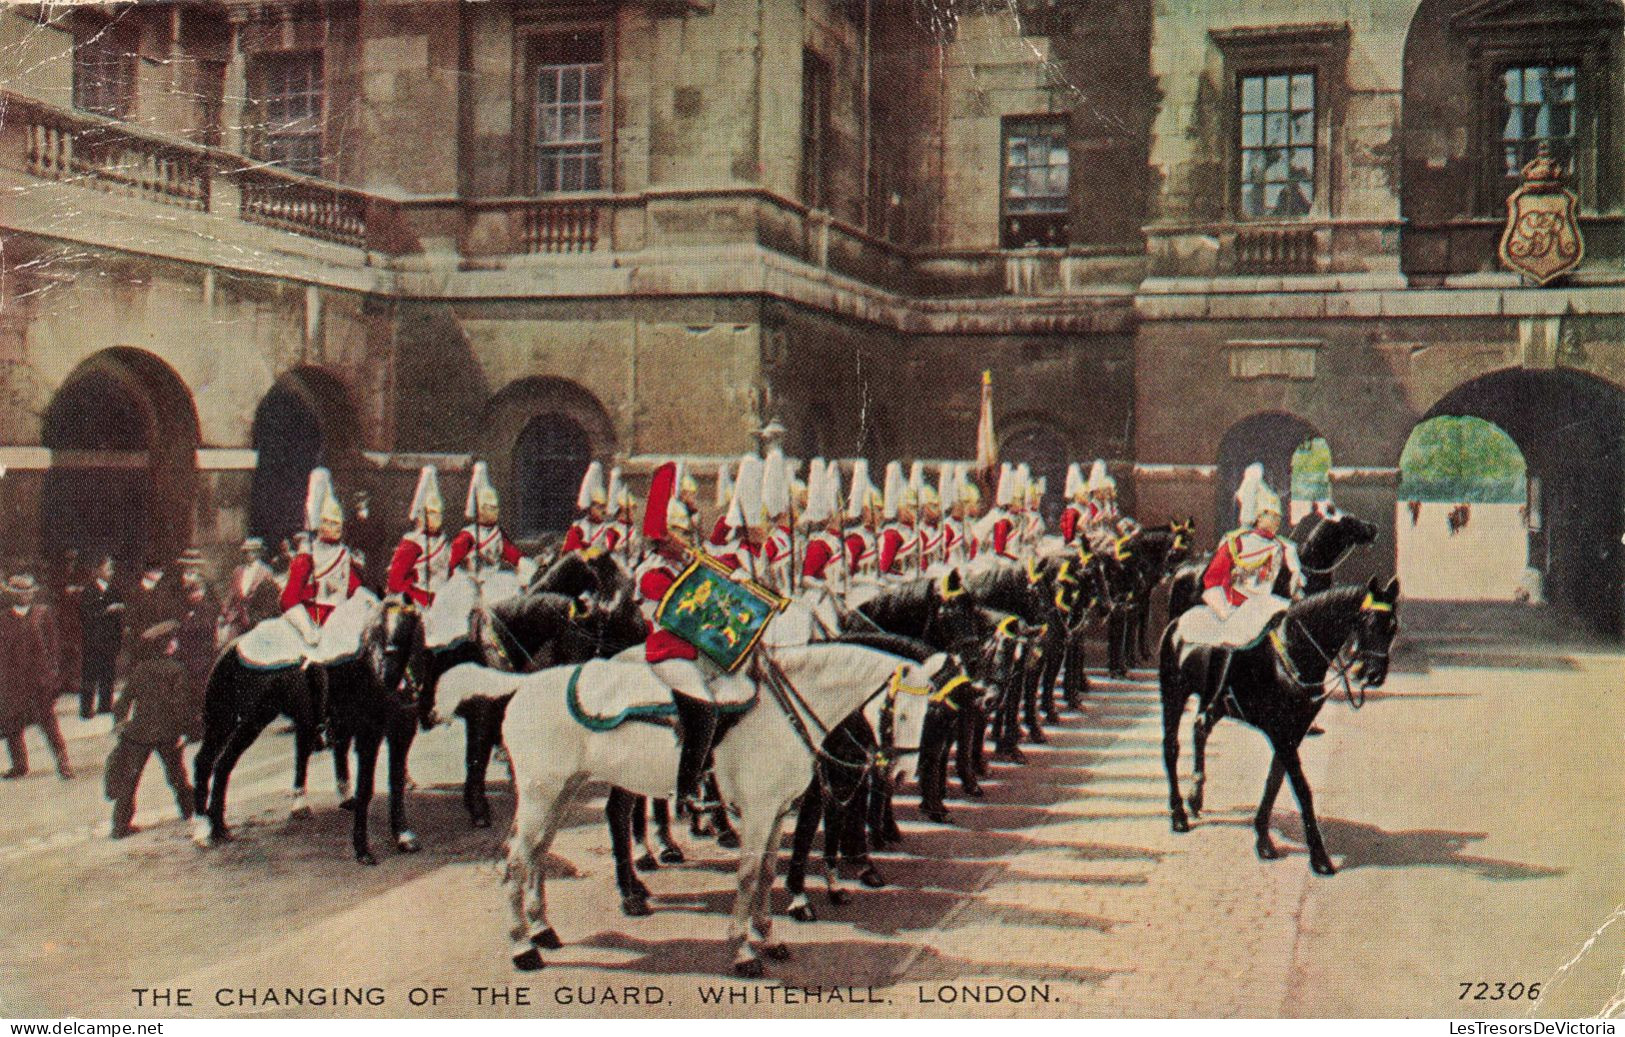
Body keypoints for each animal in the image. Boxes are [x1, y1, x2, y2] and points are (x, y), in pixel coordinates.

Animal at [192, 598, 432, 864]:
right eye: (374, 634)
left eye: (406, 635)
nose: (392, 686)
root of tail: (233, 646)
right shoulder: (368, 733)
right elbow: (366, 788)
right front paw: (363, 850)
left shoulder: (402, 731)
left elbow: (396, 782)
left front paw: (403, 836)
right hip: (229, 721)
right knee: (205, 762)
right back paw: (203, 832)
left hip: (250, 721)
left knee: (223, 765)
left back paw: (220, 828)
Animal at [448, 646, 949, 981]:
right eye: (901, 712)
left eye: (930, 710)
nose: (900, 774)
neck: (784, 712)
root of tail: (524, 684)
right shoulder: (759, 812)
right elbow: (748, 876)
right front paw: (743, 952)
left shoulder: (777, 813)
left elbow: (768, 873)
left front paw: (768, 938)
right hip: (541, 793)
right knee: (517, 862)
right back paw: (522, 947)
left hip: (560, 792)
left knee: (536, 855)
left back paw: (542, 929)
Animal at [1157, 581, 1397, 871]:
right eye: (1366, 622)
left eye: (1393, 626)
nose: (1374, 675)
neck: (1292, 653)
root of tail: (1177, 623)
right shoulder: (1280, 733)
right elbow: (1301, 788)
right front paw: (1319, 856)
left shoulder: (1294, 731)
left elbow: (1275, 780)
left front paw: (1263, 838)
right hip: (1173, 694)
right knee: (1171, 748)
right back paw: (1178, 815)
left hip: (1212, 702)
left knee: (1200, 727)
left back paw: (1195, 798)